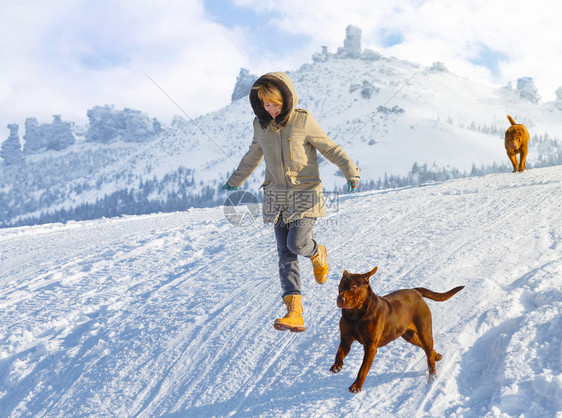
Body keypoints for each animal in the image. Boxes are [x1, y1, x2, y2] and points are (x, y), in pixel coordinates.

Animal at [328, 266, 464, 394]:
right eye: (340, 286)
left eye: (353, 287)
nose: (339, 300)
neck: (356, 315)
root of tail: (415, 291)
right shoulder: (346, 339)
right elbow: (339, 353)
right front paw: (337, 365)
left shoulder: (370, 346)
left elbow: (362, 369)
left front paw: (356, 386)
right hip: (409, 335)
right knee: (427, 349)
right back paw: (436, 355)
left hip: (424, 331)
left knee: (429, 356)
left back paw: (432, 377)